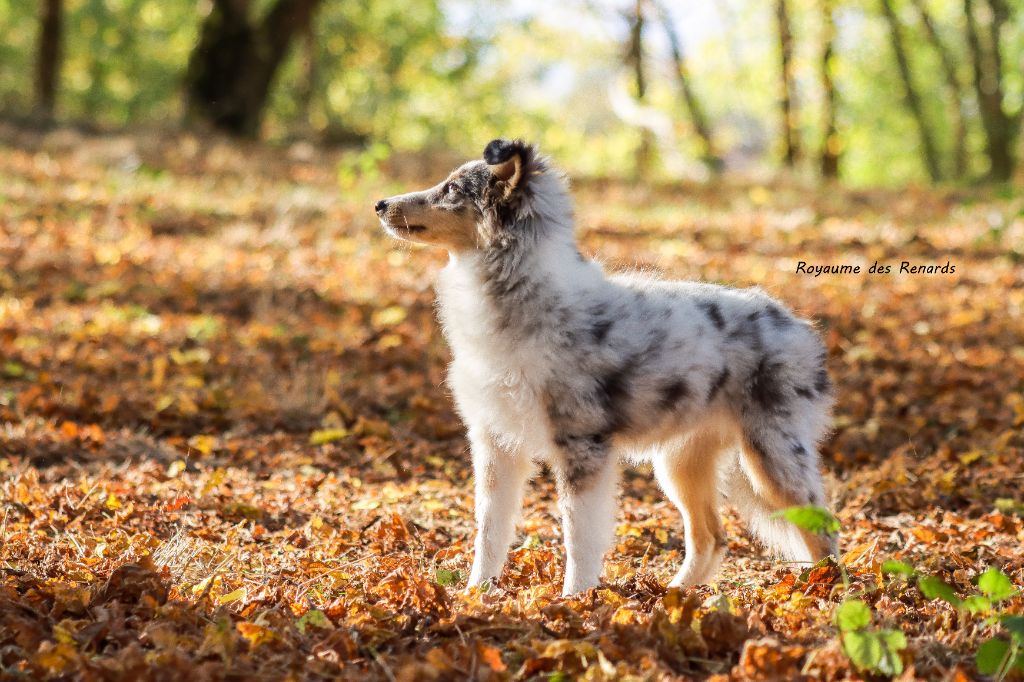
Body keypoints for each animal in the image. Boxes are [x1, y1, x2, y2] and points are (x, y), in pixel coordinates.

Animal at [372, 139, 835, 593]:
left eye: (451, 189)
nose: (380, 204)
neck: (518, 294)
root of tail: (799, 328)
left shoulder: (582, 448)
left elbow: (579, 536)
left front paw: (574, 599)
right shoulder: (495, 445)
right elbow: (489, 531)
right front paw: (476, 595)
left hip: (773, 457)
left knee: (824, 530)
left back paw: (828, 590)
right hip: (682, 464)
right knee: (711, 537)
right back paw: (675, 595)